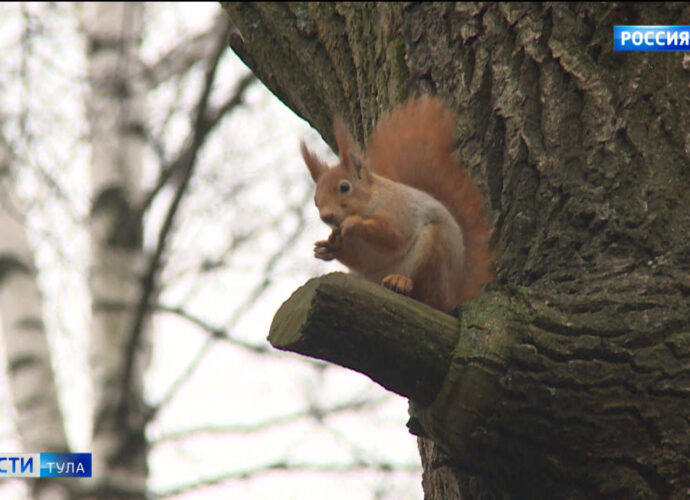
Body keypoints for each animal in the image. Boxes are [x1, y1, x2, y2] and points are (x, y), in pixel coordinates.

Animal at [300, 96, 495, 312]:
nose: (326, 216)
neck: (372, 201)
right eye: (316, 201)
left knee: (428, 296)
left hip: (435, 251)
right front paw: (326, 247)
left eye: (344, 187)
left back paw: (402, 282)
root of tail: (454, 296)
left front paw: (354, 223)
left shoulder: (400, 212)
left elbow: (393, 236)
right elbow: (357, 257)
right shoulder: (361, 255)